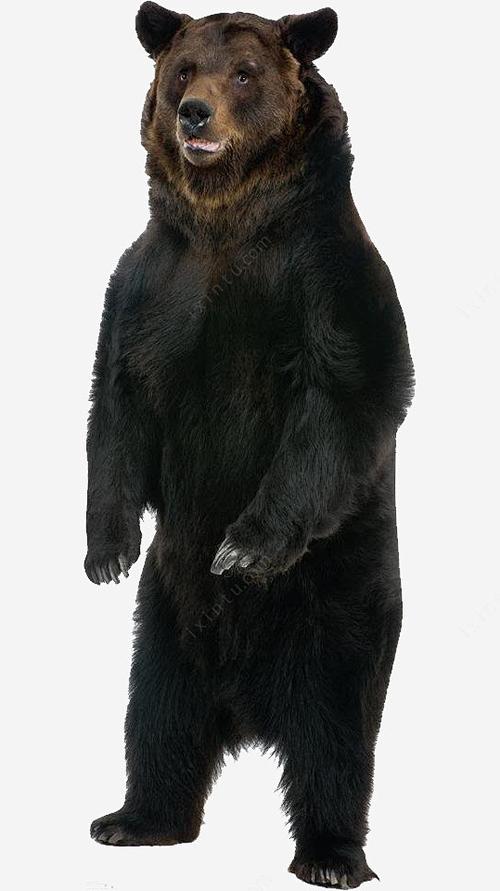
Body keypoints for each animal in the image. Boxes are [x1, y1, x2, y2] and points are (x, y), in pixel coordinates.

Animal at [85, 4, 414, 888]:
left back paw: (331, 854)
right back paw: (135, 818)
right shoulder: (150, 286)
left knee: (336, 736)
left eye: (244, 73)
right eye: (183, 68)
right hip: (165, 622)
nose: (194, 113)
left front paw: (242, 547)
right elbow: (117, 405)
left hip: (340, 603)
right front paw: (107, 549)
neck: (228, 221)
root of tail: (248, 708)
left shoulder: (325, 282)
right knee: (157, 716)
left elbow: (340, 400)